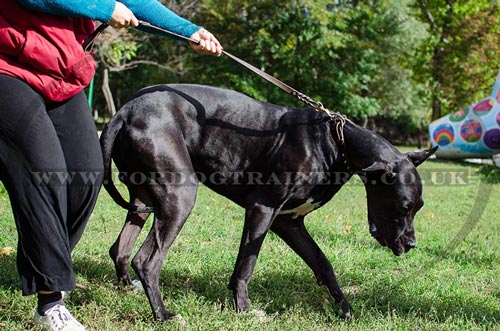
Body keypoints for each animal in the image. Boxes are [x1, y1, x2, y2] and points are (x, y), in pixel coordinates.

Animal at [99, 84, 436, 322]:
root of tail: (124, 111)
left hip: (144, 199)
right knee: (147, 261)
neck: (336, 143)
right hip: (179, 198)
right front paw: (244, 309)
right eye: (403, 206)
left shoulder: (290, 221)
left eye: (418, 208)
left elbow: (322, 263)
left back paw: (129, 288)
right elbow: (246, 265)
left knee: (121, 248)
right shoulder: (262, 209)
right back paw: (164, 315)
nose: (412, 244)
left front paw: (344, 308)